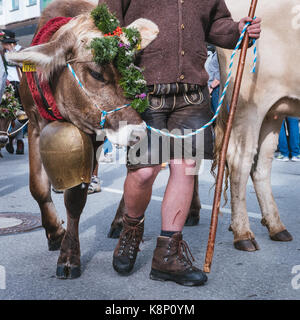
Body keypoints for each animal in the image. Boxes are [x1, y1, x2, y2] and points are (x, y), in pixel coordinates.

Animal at [7, 0, 158, 278]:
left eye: (131, 69)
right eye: (96, 73)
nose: (138, 131)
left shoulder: (92, 132)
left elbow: (75, 198)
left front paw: (69, 257)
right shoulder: (33, 123)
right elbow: (37, 187)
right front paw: (54, 232)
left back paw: (121, 221)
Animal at [216, 0, 300, 250]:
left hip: (274, 111)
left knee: (261, 165)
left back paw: (276, 227)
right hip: (250, 107)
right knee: (239, 161)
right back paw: (243, 234)